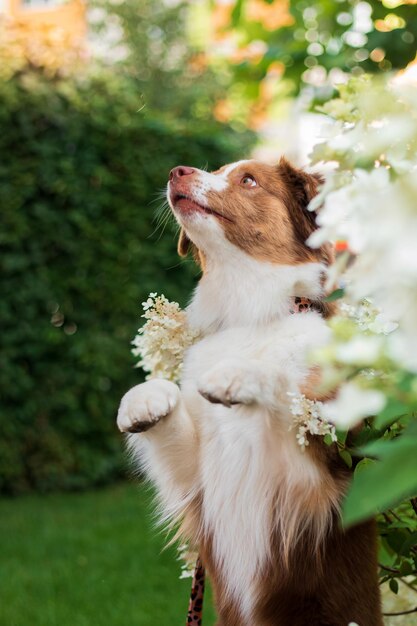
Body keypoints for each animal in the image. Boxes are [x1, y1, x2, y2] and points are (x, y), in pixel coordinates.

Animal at [115, 158, 382, 620]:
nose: (177, 170)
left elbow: (285, 387)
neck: (248, 314)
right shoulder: (196, 480)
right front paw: (145, 397)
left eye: (249, 180)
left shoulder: (315, 483)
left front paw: (241, 374)